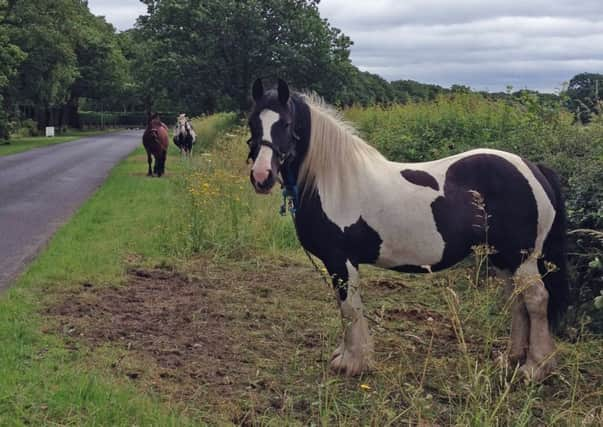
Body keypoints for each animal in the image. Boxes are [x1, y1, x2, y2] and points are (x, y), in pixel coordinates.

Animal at [248, 78, 568, 382]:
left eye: (286, 124)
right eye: (252, 122)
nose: (262, 177)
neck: (332, 183)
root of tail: (534, 168)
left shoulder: (341, 261)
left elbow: (349, 308)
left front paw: (353, 362)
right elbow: (347, 309)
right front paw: (348, 355)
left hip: (522, 257)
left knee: (536, 300)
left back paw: (535, 368)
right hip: (503, 257)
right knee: (517, 300)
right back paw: (512, 359)